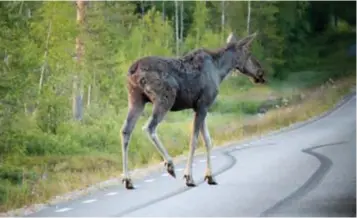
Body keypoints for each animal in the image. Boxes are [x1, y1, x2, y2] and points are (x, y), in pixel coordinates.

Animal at [119, 32, 264, 189]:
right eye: (248, 53)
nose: (261, 73)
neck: (220, 71)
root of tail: (132, 70)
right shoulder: (203, 105)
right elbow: (194, 140)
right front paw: (189, 177)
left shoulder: (200, 107)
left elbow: (208, 141)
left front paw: (210, 176)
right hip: (165, 99)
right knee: (149, 127)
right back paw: (169, 164)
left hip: (136, 99)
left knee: (126, 130)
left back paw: (127, 179)